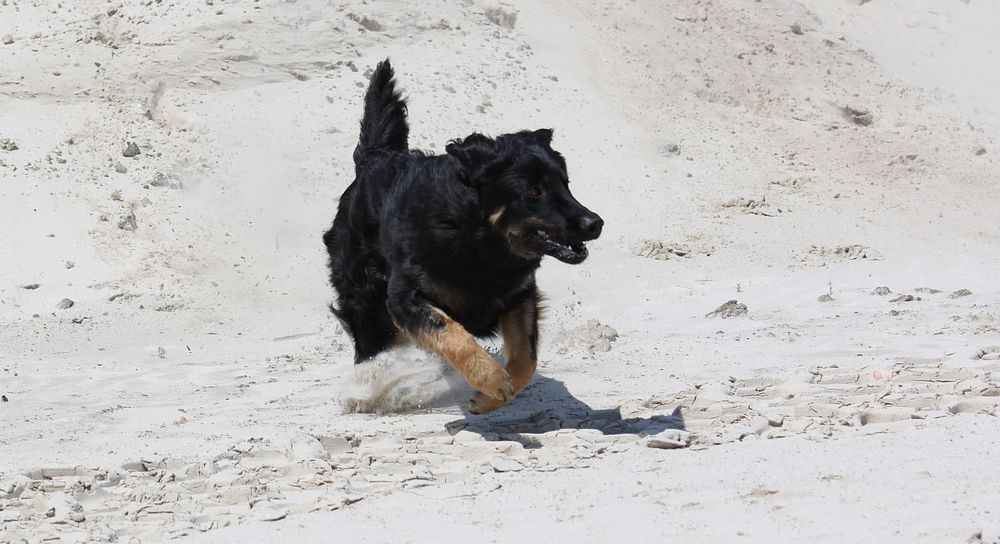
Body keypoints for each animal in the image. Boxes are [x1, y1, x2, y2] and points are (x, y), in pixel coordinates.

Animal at [323, 60, 603, 414]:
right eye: (534, 192)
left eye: (566, 184)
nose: (595, 223)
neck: (480, 242)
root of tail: (374, 157)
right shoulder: (404, 296)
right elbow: (453, 334)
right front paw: (491, 379)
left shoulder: (519, 295)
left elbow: (527, 358)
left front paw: (491, 397)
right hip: (366, 296)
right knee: (372, 348)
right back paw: (371, 390)